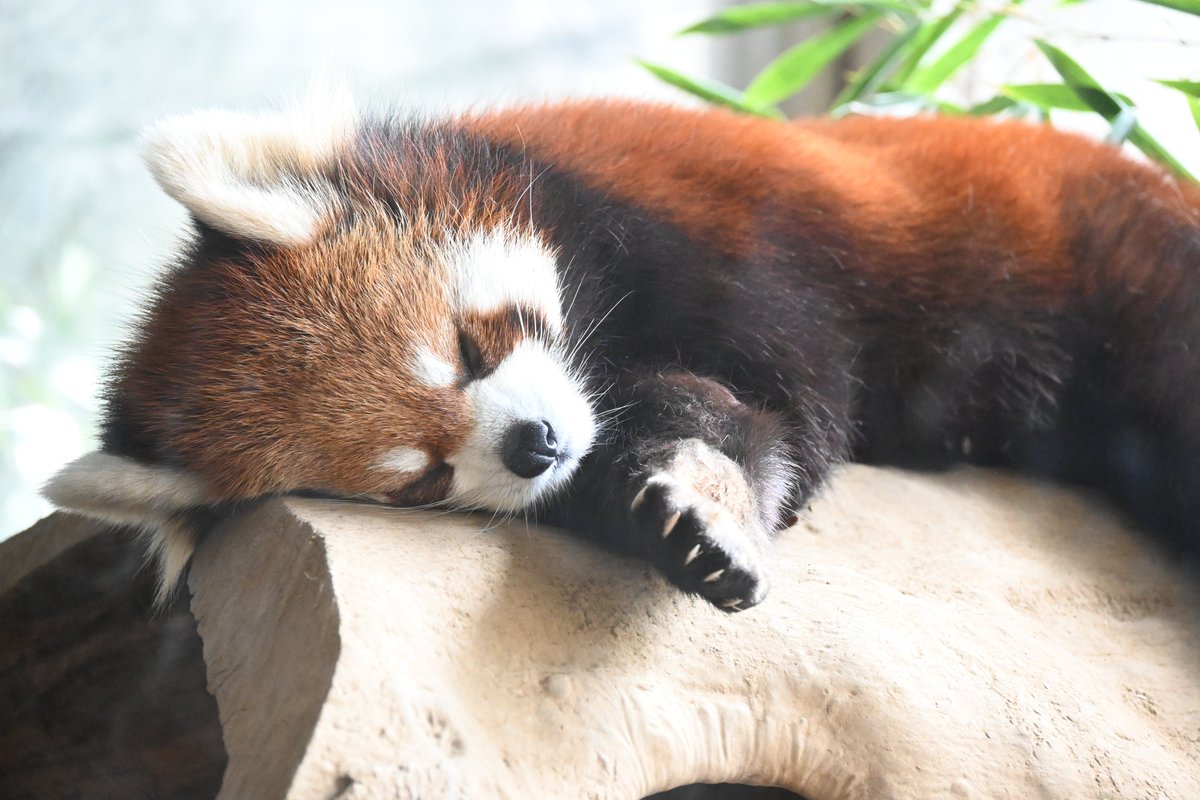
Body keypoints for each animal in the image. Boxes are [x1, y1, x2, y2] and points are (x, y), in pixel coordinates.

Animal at [42, 87, 1200, 609]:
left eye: (470, 344)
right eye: (419, 481)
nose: (536, 445)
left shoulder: (732, 242)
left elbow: (791, 402)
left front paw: (710, 496)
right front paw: (668, 517)